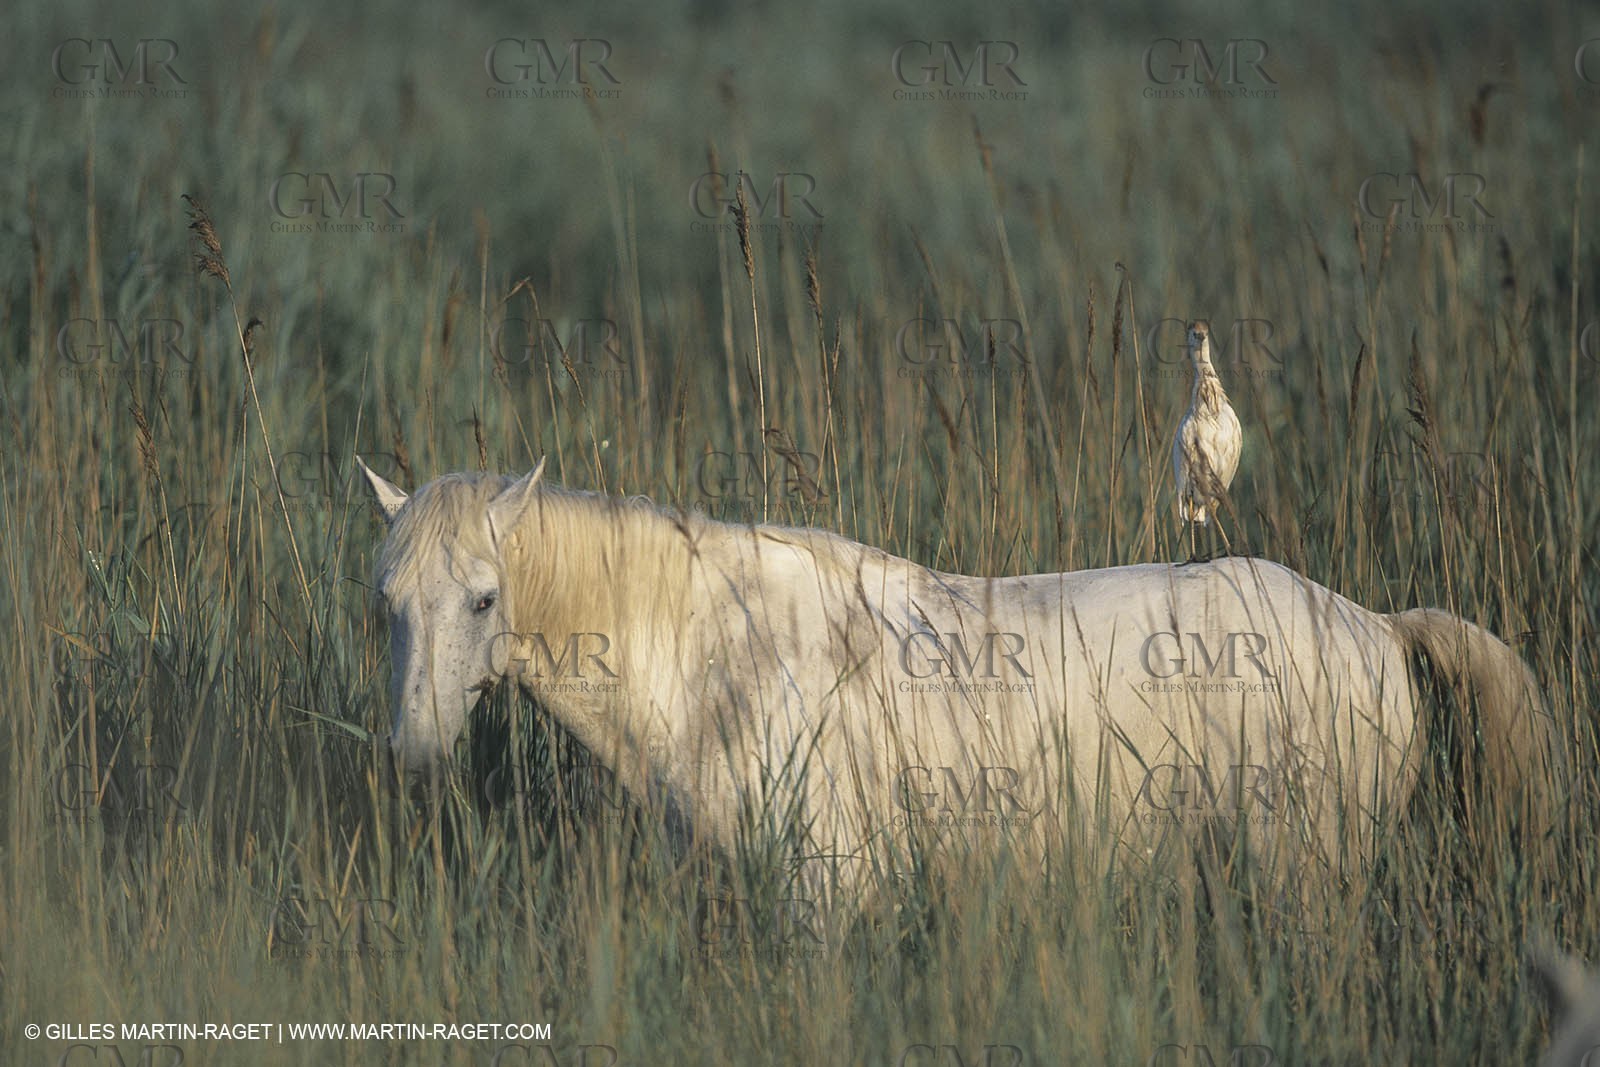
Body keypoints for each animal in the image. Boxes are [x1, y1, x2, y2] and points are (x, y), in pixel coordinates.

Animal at [356, 457, 1553, 899]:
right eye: (385, 602)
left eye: (484, 600)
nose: (412, 756)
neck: (720, 656)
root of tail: (1374, 626)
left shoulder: (828, 891)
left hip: (1307, 873)